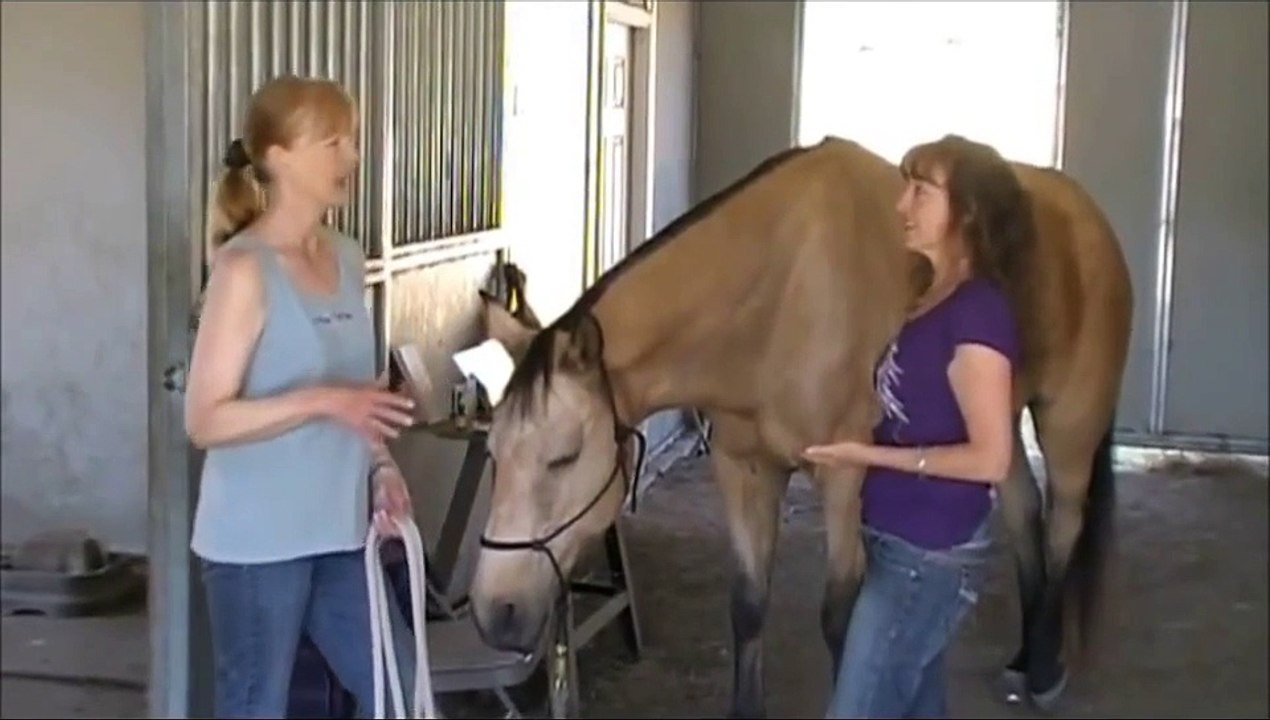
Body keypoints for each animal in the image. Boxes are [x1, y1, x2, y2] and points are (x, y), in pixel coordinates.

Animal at [467, 135, 1133, 717]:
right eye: (493, 453)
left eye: (564, 456)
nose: (495, 612)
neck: (782, 294)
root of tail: (1091, 220)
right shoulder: (743, 469)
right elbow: (747, 604)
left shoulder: (843, 479)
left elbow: (839, 616)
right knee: (1024, 515)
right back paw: (1023, 659)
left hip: (1068, 424)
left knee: (1063, 526)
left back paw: (1045, 672)